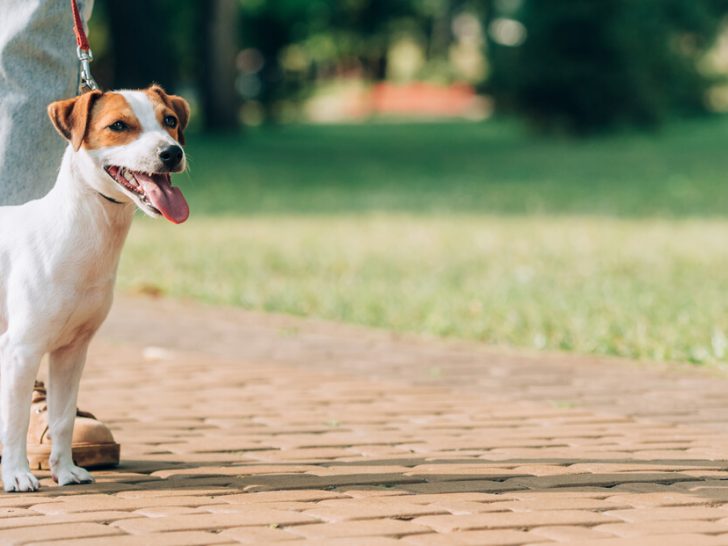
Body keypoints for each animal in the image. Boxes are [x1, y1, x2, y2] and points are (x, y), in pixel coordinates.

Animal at [0, 84, 191, 488]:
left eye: (170, 120)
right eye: (118, 125)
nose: (172, 152)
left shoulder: (72, 351)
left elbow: (62, 418)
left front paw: (65, 470)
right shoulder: (21, 349)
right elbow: (15, 421)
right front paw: (17, 475)